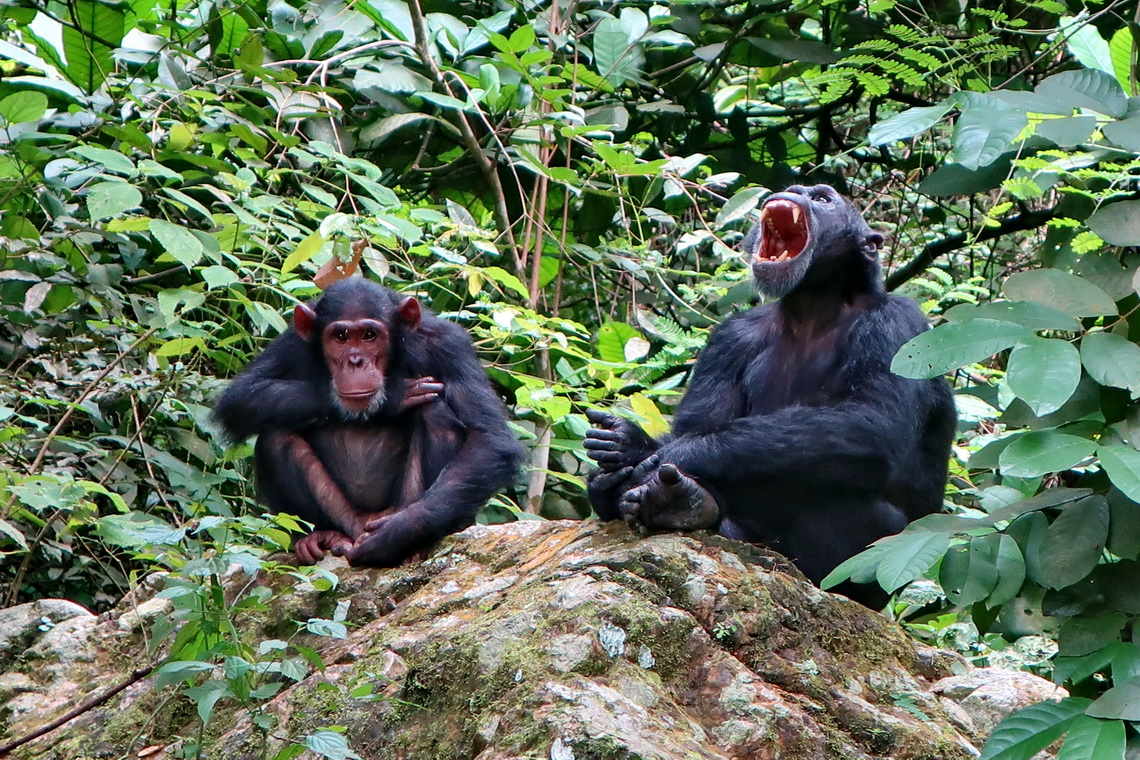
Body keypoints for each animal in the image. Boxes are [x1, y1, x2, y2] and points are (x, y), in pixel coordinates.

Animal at [588, 184, 953, 606]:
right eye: (800, 189)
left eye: (824, 199)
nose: (795, 190)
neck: (813, 306)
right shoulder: (730, 338)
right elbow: (701, 422)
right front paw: (628, 444)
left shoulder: (898, 325)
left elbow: (872, 420)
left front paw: (663, 456)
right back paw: (676, 503)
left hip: (870, 572)